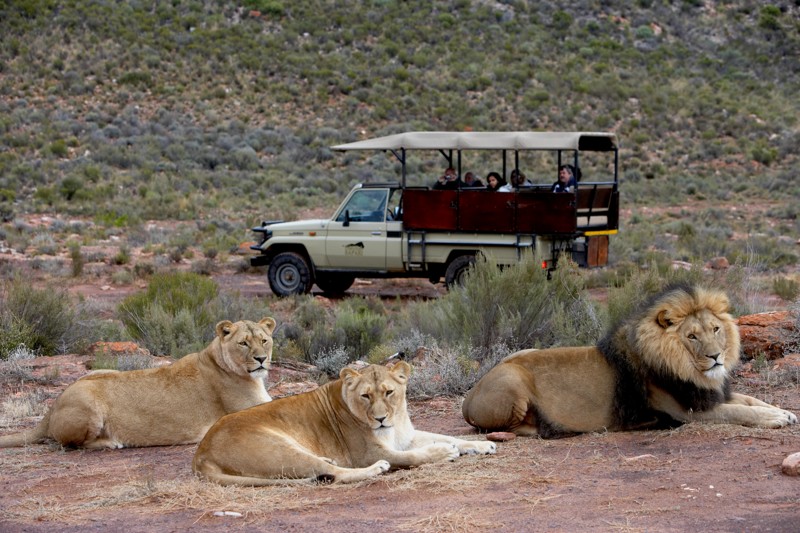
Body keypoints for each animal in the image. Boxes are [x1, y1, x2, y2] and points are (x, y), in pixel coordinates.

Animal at [0, 316, 278, 448]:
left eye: (264, 340)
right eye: (243, 343)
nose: (261, 359)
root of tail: (52, 407)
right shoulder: (248, 412)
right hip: (88, 402)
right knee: (73, 443)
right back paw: (111, 442)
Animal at [191, 360, 496, 484]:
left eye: (389, 392)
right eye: (365, 395)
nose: (381, 419)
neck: (395, 421)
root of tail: (201, 453)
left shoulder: (405, 437)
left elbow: (448, 436)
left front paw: (482, 445)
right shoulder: (369, 451)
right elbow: (413, 456)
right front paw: (444, 453)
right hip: (279, 448)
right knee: (333, 474)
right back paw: (375, 470)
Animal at [460, 286, 796, 436]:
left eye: (715, 329)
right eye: (692, 336)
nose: (716, 357)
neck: (692, 371)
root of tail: (469, 395)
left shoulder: (709, 394)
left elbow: (750, 400)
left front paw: (784, 411)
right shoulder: (687, 411)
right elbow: (738, 411)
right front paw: (775, 419)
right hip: (513, 382)